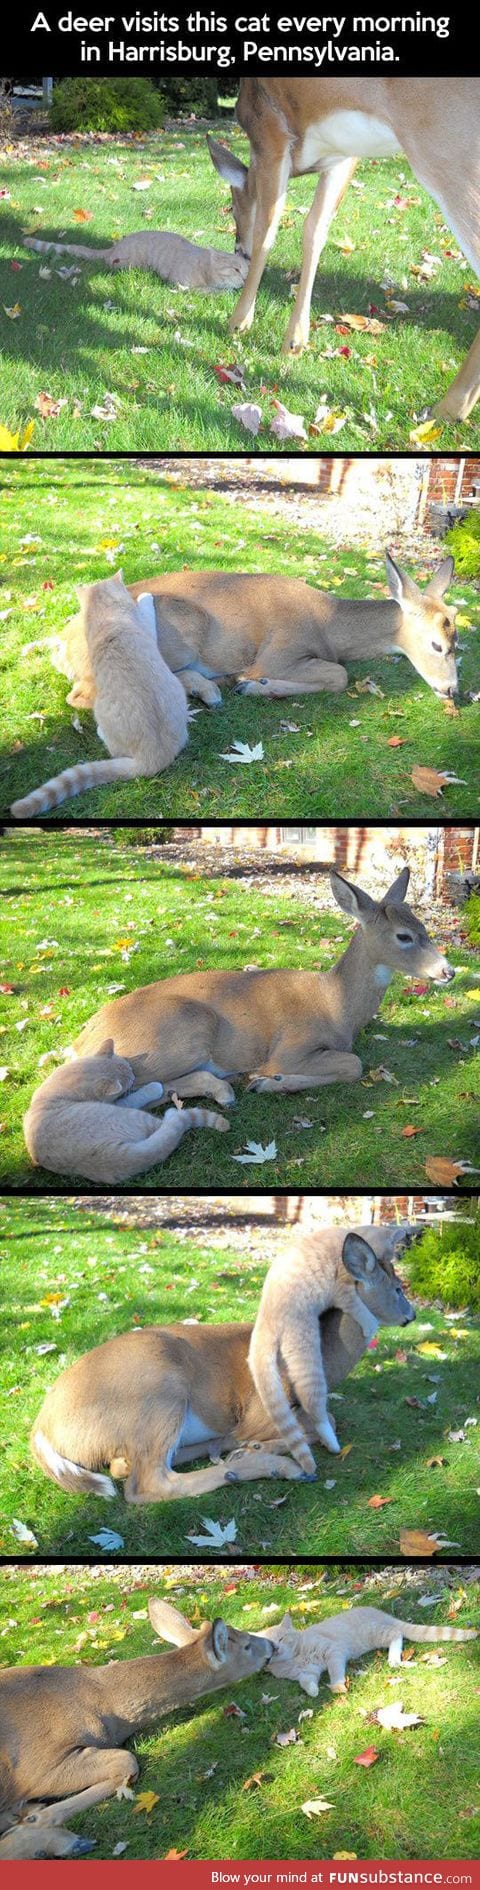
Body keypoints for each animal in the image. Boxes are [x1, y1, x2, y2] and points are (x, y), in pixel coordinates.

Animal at [0, 1602, 274, 1867]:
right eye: (247, 1646)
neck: (105, 1708)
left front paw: (31, 1816)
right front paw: (38, 1818)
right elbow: (128, 1760)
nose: (272, 1645)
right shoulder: (36, 1768)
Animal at [30, 1224, 419, 1504]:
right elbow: (328, 1421)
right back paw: (275, 1465)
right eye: (398, 1288)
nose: (412, 1315)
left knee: (127, 1465)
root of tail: (42, 1425)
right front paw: (266, 1448)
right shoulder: (260, 1411)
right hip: (159, 1389)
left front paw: (255, 1446)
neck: (328, 1356)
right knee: (146, 1483)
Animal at [50, 551, 459, 714]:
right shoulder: (278, 652)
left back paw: (210, 688)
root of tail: (62, 647)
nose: (452, 689)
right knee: (86, 694)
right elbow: (339, 674)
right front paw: (254, 685)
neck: (328, 623)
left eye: (458, 639)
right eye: (437, 645)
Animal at [74, 865, 453, 1111]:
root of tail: (80, 1044)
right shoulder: (290, 1047)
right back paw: (227, 1088)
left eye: (424, 927)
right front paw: (269, 1081)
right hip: (183, 1030)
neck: (336, 1006)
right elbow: (353, 1064)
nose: (447, 971)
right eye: (403, 936)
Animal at [207, 77, 480, 421]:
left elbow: (267, 229)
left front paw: (239, 321)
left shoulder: (271, 130)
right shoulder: (344, 155)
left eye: (232, 206)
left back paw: (448, 406)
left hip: (449, 152)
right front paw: (295, 341)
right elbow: (315, 229)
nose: (238, 249)